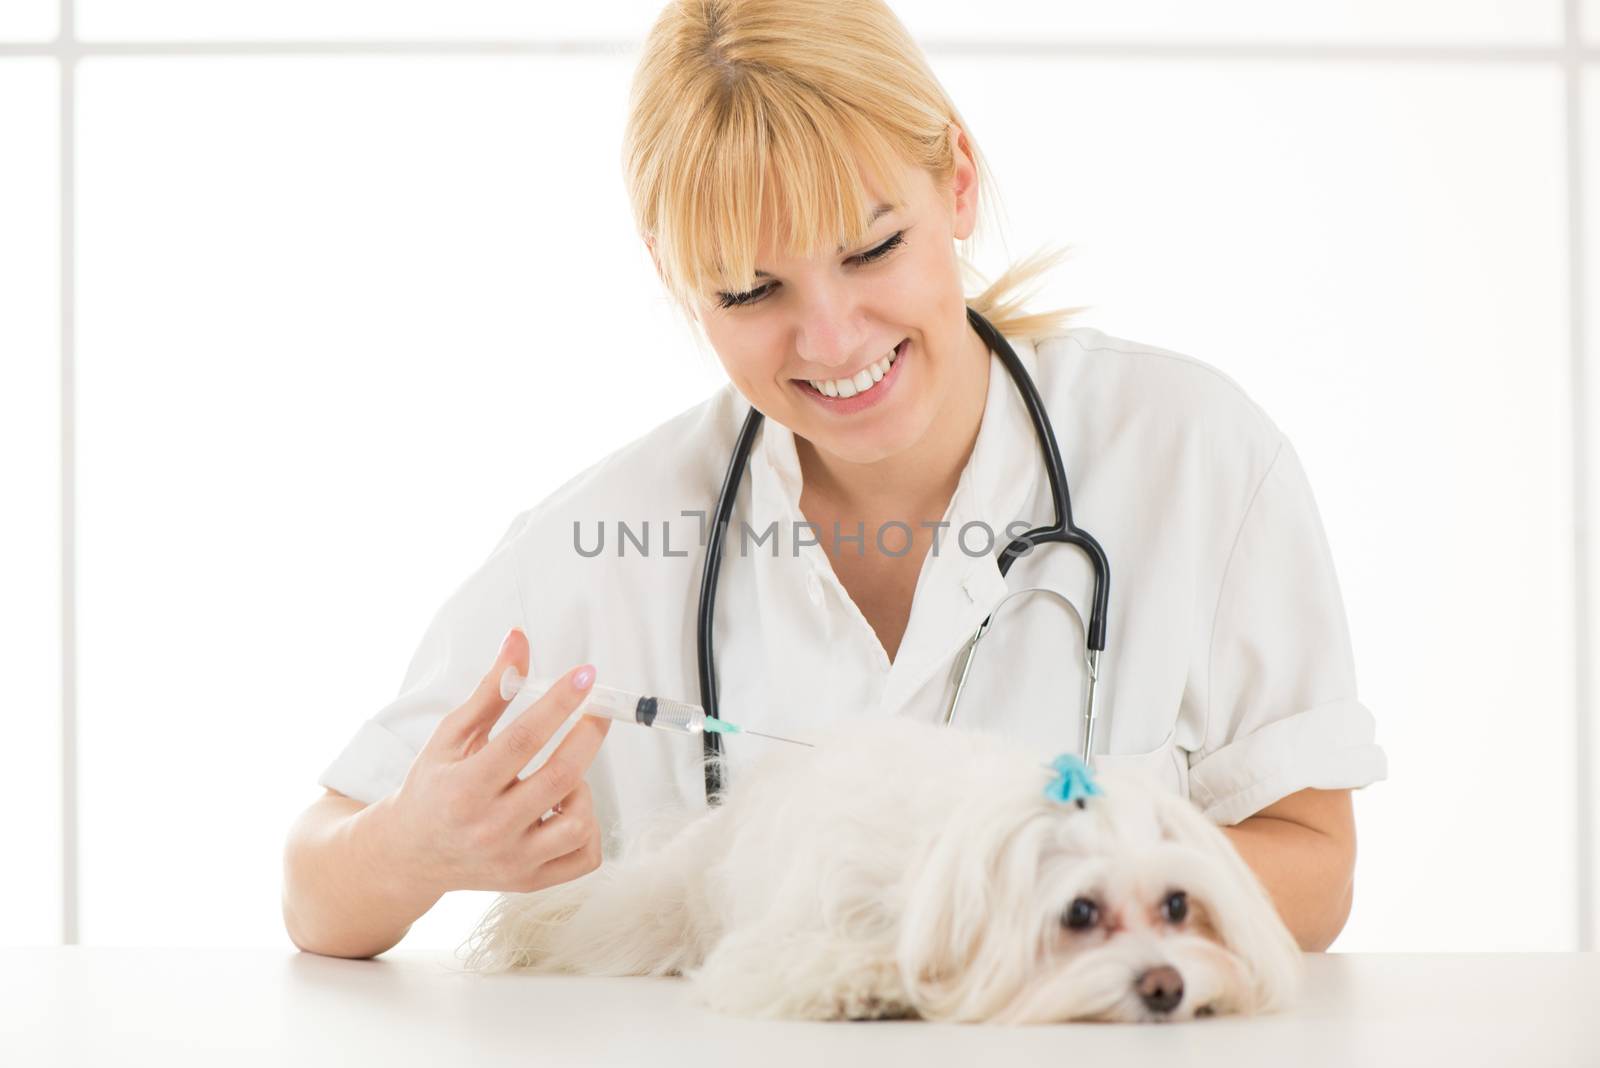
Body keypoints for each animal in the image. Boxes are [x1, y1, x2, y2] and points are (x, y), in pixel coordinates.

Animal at [460, 713, 1299, 1023]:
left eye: (1178, 907)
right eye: (1080, 914)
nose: (1166, 987)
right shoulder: (773, 950)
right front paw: (869, 983)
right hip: (654, 909)